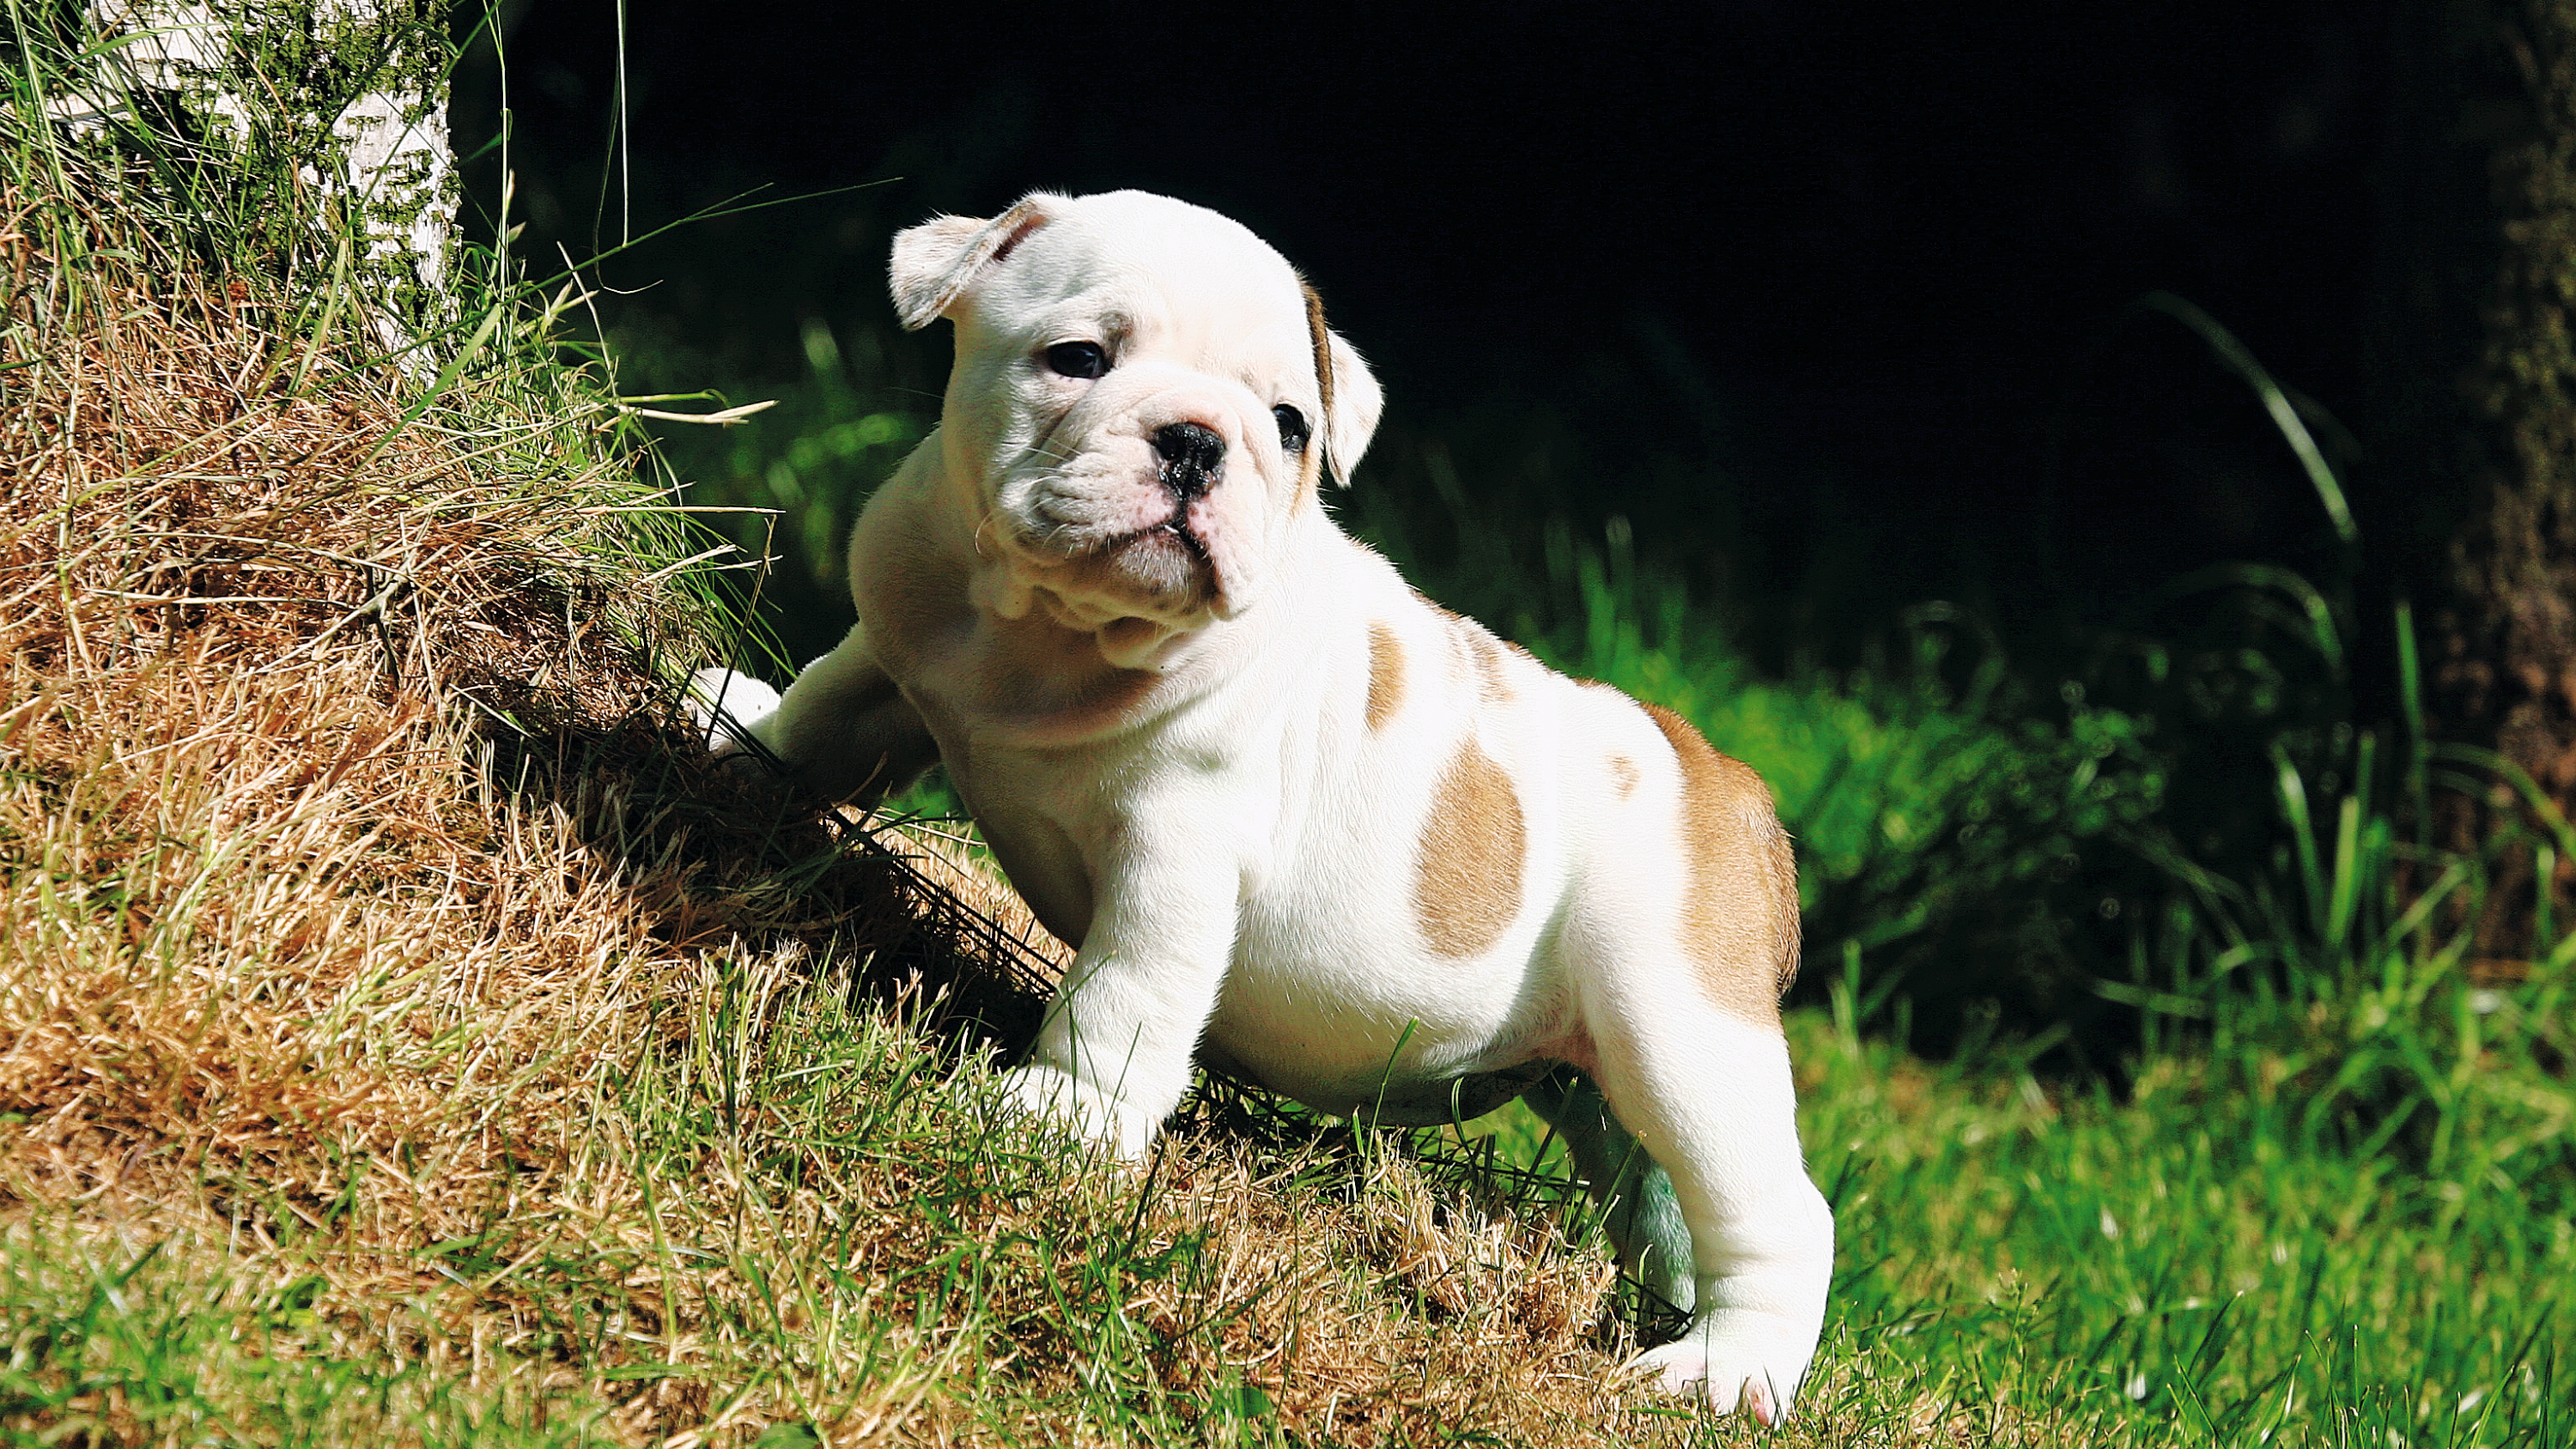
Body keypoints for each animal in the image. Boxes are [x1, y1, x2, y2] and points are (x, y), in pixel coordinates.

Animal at [690, 192, 1834, 1431]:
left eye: (1290, 425)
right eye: (1078, 359)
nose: (1197, 441)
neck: (1045, 633)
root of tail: (1726, 777)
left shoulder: (1177, 856)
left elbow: (1121, 994)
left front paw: (1055, 1118)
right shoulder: (897, 654)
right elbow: (827, 709)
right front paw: (742, 728)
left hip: (1679, 1027)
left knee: (1780, 1211)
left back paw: (1724, 1370)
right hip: (1598, 1080)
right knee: (1658, 1190)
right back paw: (1676, 1305)